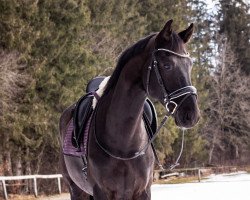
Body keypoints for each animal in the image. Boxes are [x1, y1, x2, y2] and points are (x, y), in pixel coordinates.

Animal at [58, 19, 199, 200]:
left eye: (190, 65)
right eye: (167, 65)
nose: (191, 114)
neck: (124, 143)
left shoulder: (143, 191)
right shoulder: (101, 192)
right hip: (76, 190)